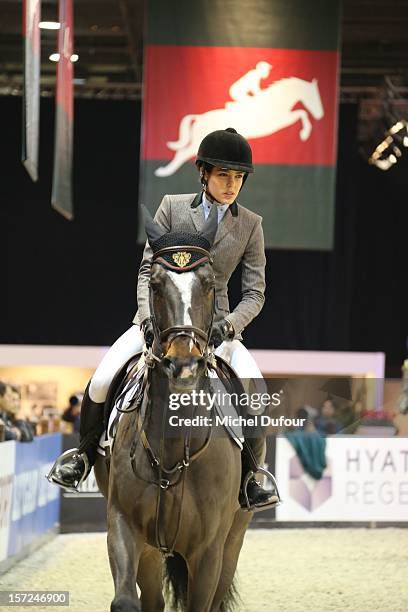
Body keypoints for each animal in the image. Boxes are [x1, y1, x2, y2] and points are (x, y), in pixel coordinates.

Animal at [95, 207, 253, 612]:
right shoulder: (124, 527)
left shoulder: (209, 553)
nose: (183, 365)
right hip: (153, 551)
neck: (172, 446)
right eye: (154, 285)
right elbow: (126, 601)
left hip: (233, 542)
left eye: (210, 283)